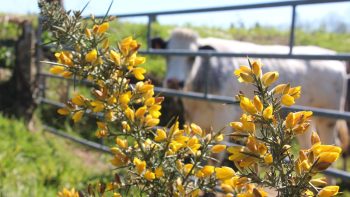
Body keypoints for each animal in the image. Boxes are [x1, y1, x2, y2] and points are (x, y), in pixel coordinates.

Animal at [152, 28, 348, 152]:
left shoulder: (223, 117)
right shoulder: (194, 117)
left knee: (332, 144)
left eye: (193, 57)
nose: (174, 82)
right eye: (167, 54)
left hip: (329, 119)